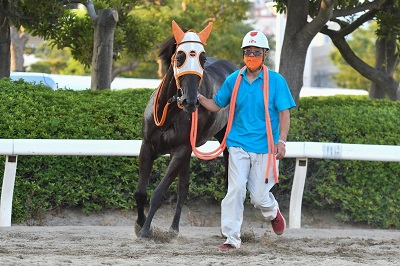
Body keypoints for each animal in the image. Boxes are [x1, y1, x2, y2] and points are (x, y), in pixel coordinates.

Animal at [134, 19, 239, 238]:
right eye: (180, 57)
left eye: (203, 59)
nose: (190, 101)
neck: (169, 114)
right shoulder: (147, 146)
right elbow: (141, 192)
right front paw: (139, 223)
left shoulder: (180, 150)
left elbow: (158, 193)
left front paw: (146, 229)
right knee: (183, 188)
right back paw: (173, 228)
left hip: (224, 143)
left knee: (228, 185)